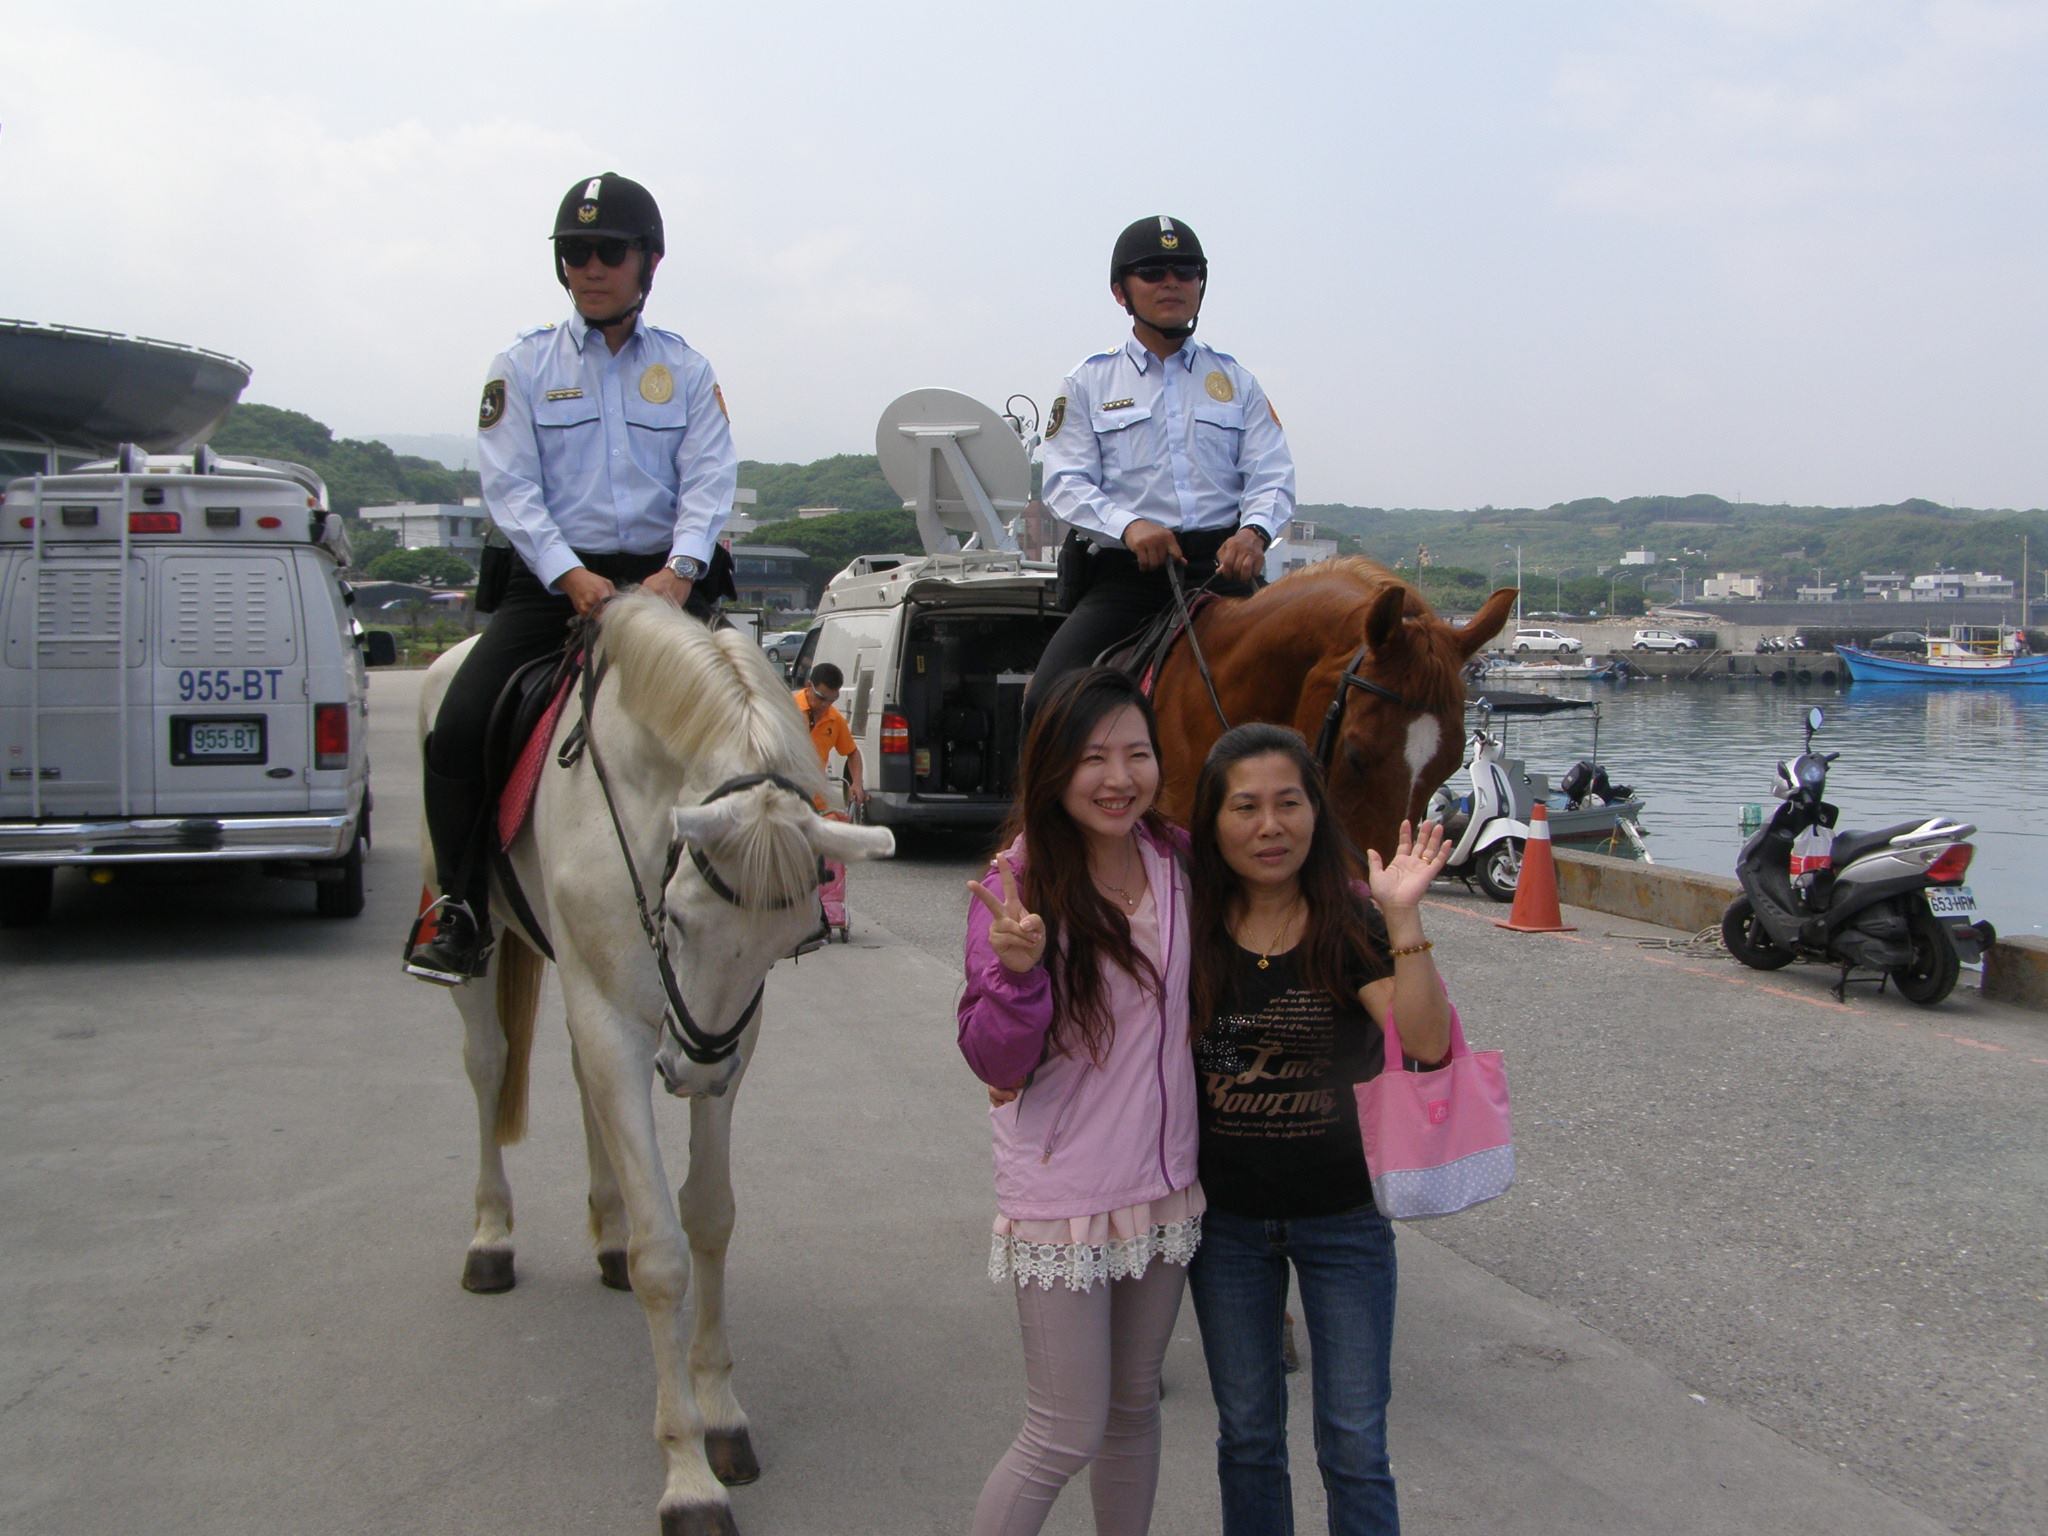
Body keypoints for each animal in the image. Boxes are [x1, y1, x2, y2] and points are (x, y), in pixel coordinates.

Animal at [419, 593, 892, 1536]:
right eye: (675, 918)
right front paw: (687, 1473)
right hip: (487, 952)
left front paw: (723, 1417)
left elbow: (708, 1216)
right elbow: (664, 1255)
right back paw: (491, 1237)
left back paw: (604, 1230)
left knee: (579, 1080)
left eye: (786, 942)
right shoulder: (621, 1017)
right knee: (488, 1065)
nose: (693, 1071)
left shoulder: (726, 1037)